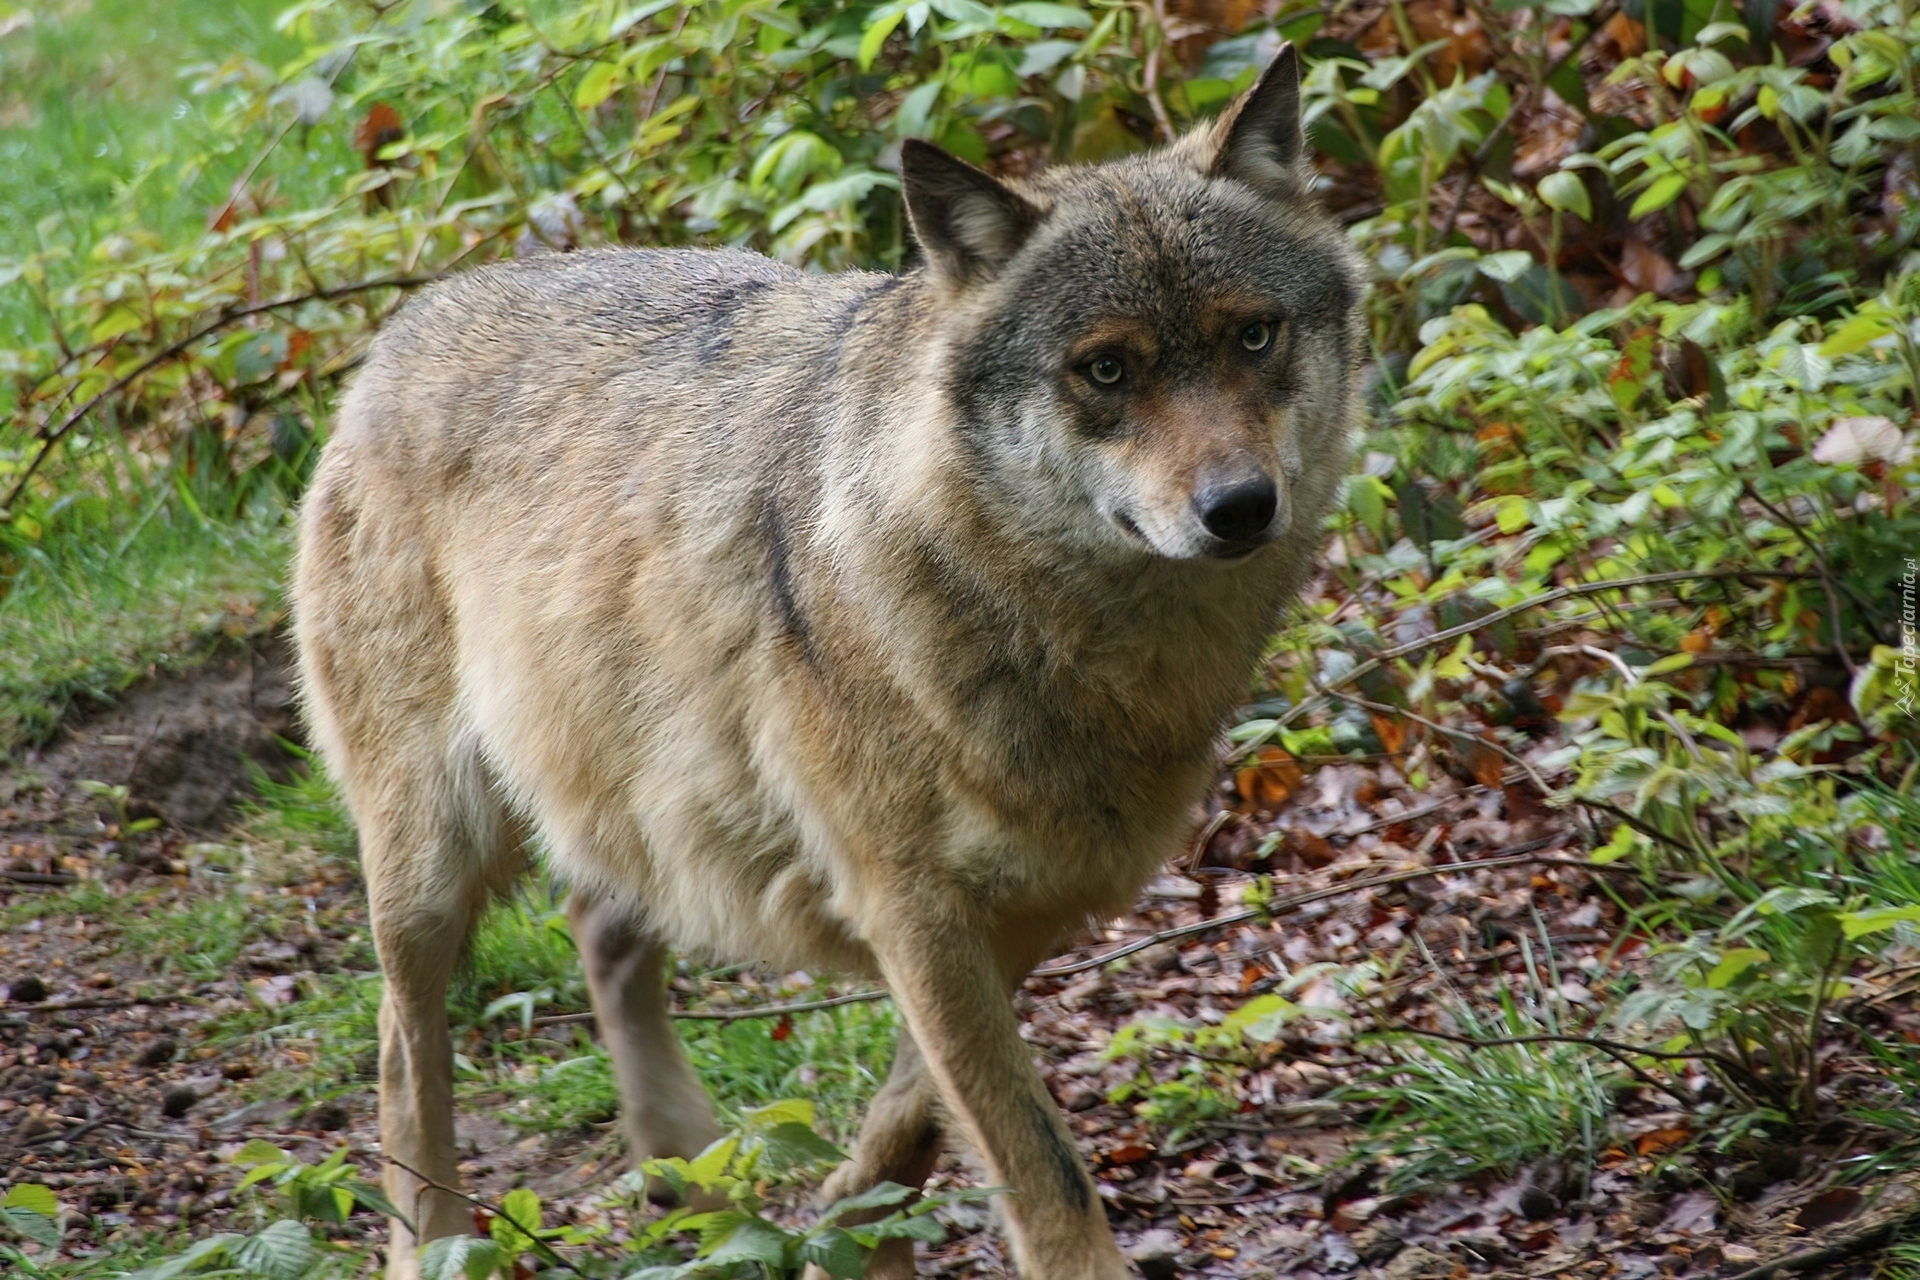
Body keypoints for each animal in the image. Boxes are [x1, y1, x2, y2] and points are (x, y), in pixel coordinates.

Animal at [288, 45, 1367, 1274]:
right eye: (1104, 370)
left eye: (1254, 336)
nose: (1240, 507)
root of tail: (403, 326)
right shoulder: (912, 906)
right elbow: (1036, 1154)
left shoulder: (1025, 906)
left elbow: (918, 1118)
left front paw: (851, 1221)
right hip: (429, 865)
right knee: (400, 1041)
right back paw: (436, 1239)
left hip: (636, 798)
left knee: (603, 935)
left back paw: (688, 1178)